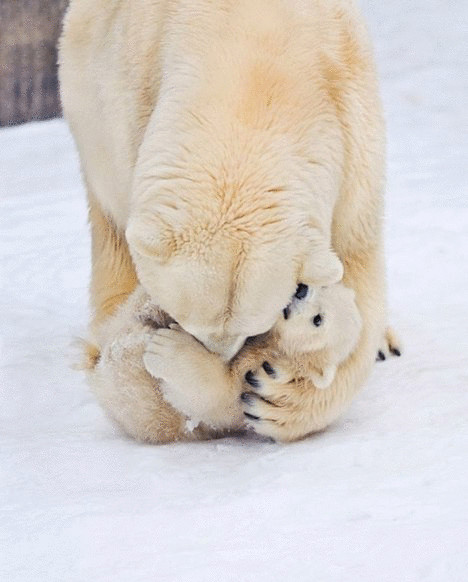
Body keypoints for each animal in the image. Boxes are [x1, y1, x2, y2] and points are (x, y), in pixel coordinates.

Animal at [60, 0, 390, 442]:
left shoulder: (352, 130)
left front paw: (276, 396)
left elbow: (356, 270)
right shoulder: (131, 99)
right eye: (187, 319)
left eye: (252, 328)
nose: (218, 356)